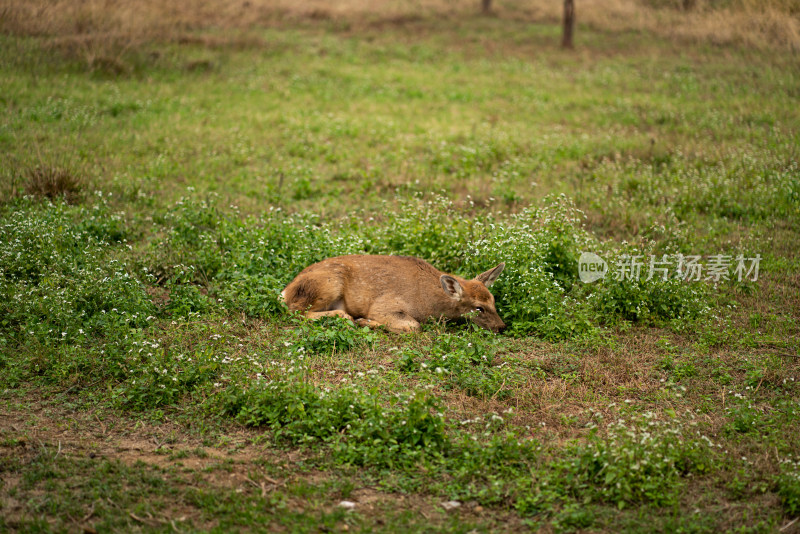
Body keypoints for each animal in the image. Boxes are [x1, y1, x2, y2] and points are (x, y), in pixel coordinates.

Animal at [282, 256, 506, 336]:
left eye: (493, 300)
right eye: (478, 308)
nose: (502, 326)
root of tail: (285, 291)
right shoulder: (383, 305)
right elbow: (414, 326)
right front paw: (364, 321)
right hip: (328, 285)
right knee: (297, 311)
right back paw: (346, 318)